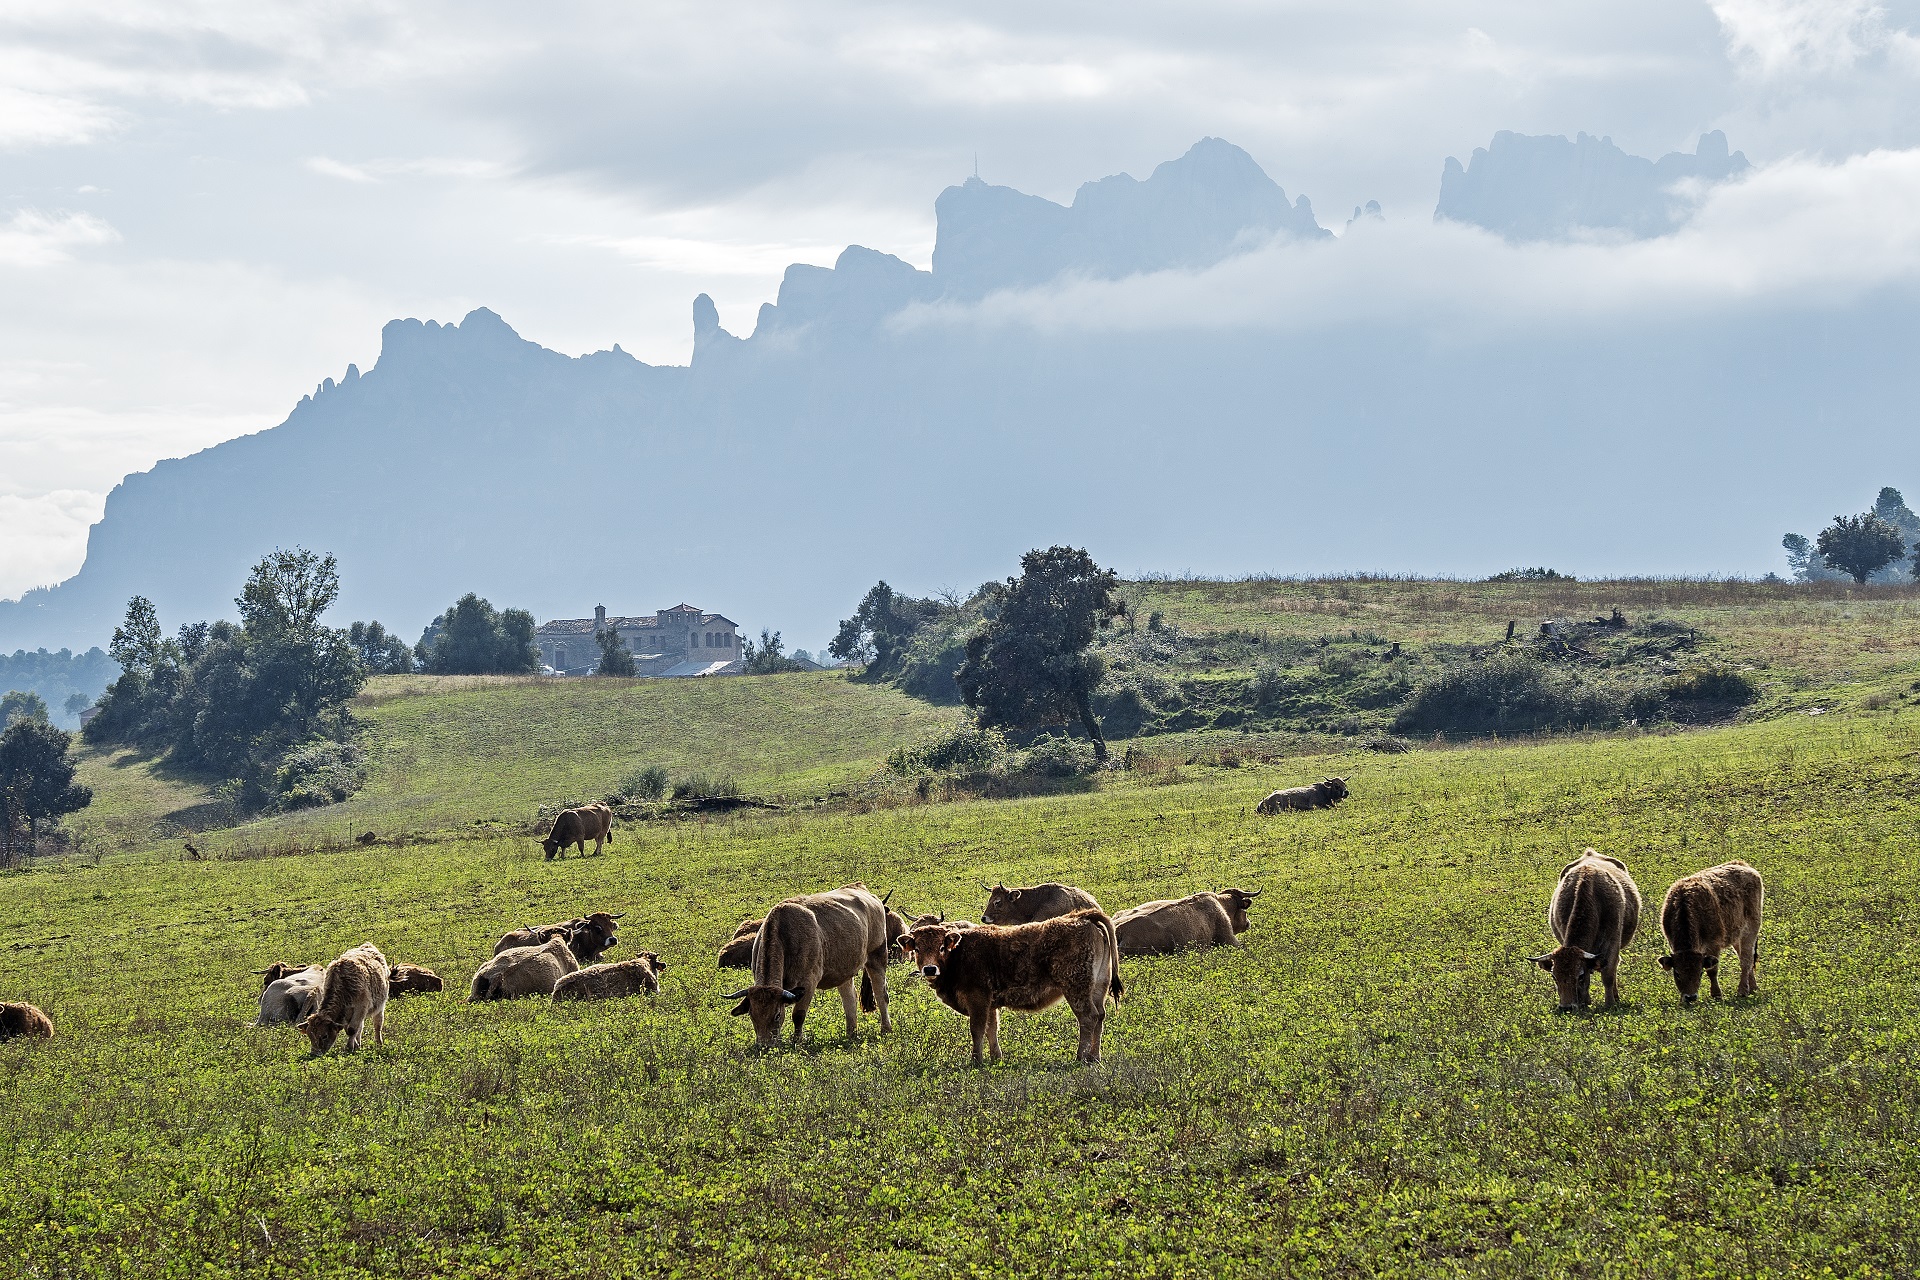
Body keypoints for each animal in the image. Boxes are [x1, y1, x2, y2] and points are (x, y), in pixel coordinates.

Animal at [721, 882, 894, 1051]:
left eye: (777, 1015)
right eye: (752, 1014)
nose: (764, 1045)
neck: (785, 934)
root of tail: (863, 890)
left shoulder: (808, 983)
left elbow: (798, 1015)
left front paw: (797, 1041)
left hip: (877, 957)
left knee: (881, 994)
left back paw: (886, 1028)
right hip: (844, 972)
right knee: (849, 999)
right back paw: (851, 1033)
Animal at [898, 909, 1121, 1074]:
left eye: (942, 947)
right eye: (917, 948)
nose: (929, 969)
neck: (960, 952)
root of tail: (1080, 917)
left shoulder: (978, 999)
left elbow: (977, 1030)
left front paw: (976, 1060)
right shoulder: (990, 1004)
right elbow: (991, 1029)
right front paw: (996, 1057)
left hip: (1076, 988)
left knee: (1088, 1017)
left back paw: (1081, 1057)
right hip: (1098, 987)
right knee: (1100, 1017)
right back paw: (1094, 1057)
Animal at [1528, 852, 1651, 1013]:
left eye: (1579, 976)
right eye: (1554, 977)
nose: (1566, 1007)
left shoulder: (1612, 945)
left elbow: (1608, 975)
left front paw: (1610, 1003)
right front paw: (1586, 1002)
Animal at [1658, 867, 1758, 1005]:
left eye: (1700, 973)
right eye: (1677, 973)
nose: (1690, 997)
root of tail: (1747, 868)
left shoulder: (1713, 945)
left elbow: (1712, 971)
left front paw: (1716, 995)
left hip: (1750, 932)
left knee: (1746, 960)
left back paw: (1742, 991)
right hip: (1736, 938)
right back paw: (1753, 988)